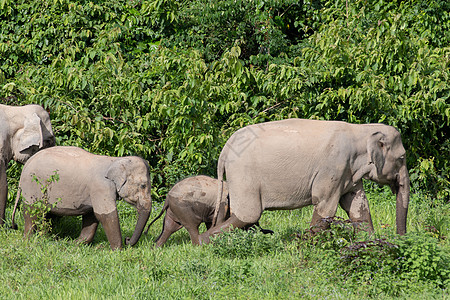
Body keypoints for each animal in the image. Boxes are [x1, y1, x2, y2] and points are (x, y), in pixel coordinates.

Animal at [12, 146, 152, 250]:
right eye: (143, 185)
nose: (127, 239)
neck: (116, 161)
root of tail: (25, 166)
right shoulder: (101, 187)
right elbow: (106, 215)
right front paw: (118, 251)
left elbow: (92, 216)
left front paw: (75, 244)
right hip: (32, 186)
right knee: (33, 212)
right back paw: (29, 240)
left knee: (46, 213)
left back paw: (46, 238)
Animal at [144, 176, 272, 246]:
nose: (271, 232)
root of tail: (167, 198)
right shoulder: (222, 204)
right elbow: (219, 222)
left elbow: (211, 224)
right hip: (182, 208)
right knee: (191, 226)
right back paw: (198, 246)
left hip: (174, 209)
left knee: (169, 227)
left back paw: (155, 248)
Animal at [200, 118, 412, 245]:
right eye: (402, 158)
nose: (402, 239)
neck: (362, 130)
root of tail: (224, 150)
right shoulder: (333, 168)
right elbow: (325, 207)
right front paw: (305, 245)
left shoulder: (348, 173)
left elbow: (358, 206)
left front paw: (369, 243)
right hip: (243, 175)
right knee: (248, 215)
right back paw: (202, 241)